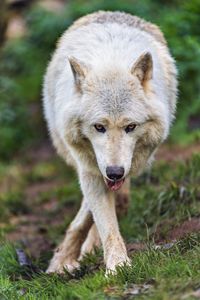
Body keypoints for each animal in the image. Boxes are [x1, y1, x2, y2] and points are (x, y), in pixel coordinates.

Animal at [43, 11, 177, 274]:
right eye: (99, 127)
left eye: (130, 127)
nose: (115, 172)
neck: (111, 61)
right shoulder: (89, 168)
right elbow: (103, 222)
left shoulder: (126, 165)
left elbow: (98, 218)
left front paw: (113, 263)